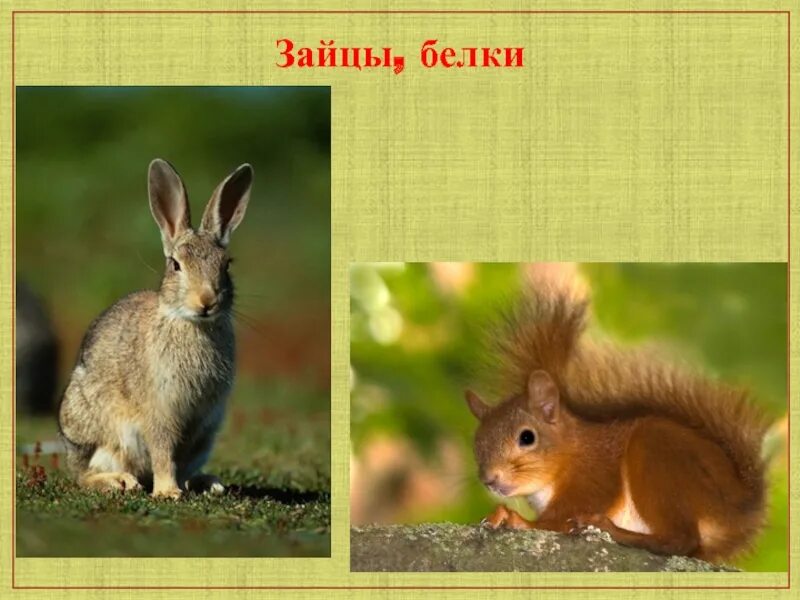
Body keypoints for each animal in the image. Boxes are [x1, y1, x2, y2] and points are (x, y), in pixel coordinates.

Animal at [58, 159, 252, 499]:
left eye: (226, 264)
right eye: (176, 265)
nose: (207, 301)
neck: (191, 324)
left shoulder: (199, 422)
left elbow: (179, 456)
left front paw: (180, 486)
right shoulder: (159, 411)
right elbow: (163, 449)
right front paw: (168, 492)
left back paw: (208, 483)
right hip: (92, 427)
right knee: (84, 475)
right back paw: (119, 481)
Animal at [464, 273, 769, 563]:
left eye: (527, 437)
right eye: (477, 445)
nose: (489, 479)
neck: (568, 454)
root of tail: (739, 508)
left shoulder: (594, 477)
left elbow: (562, 518)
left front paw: (517, 520)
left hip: (657, 452)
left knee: (678, 540)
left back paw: (612, 530)